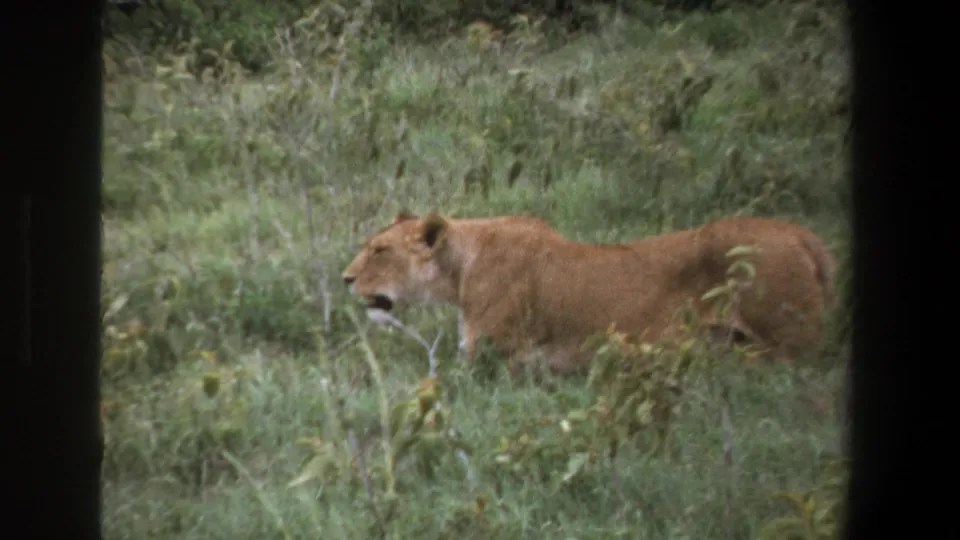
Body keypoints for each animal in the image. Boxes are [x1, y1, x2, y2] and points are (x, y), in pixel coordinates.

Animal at [341, 212, 836, 376]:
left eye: (379, 250)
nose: (345, 279)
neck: (460, 266)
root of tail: (805, 235)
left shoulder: (490, 358)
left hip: (788, 346)